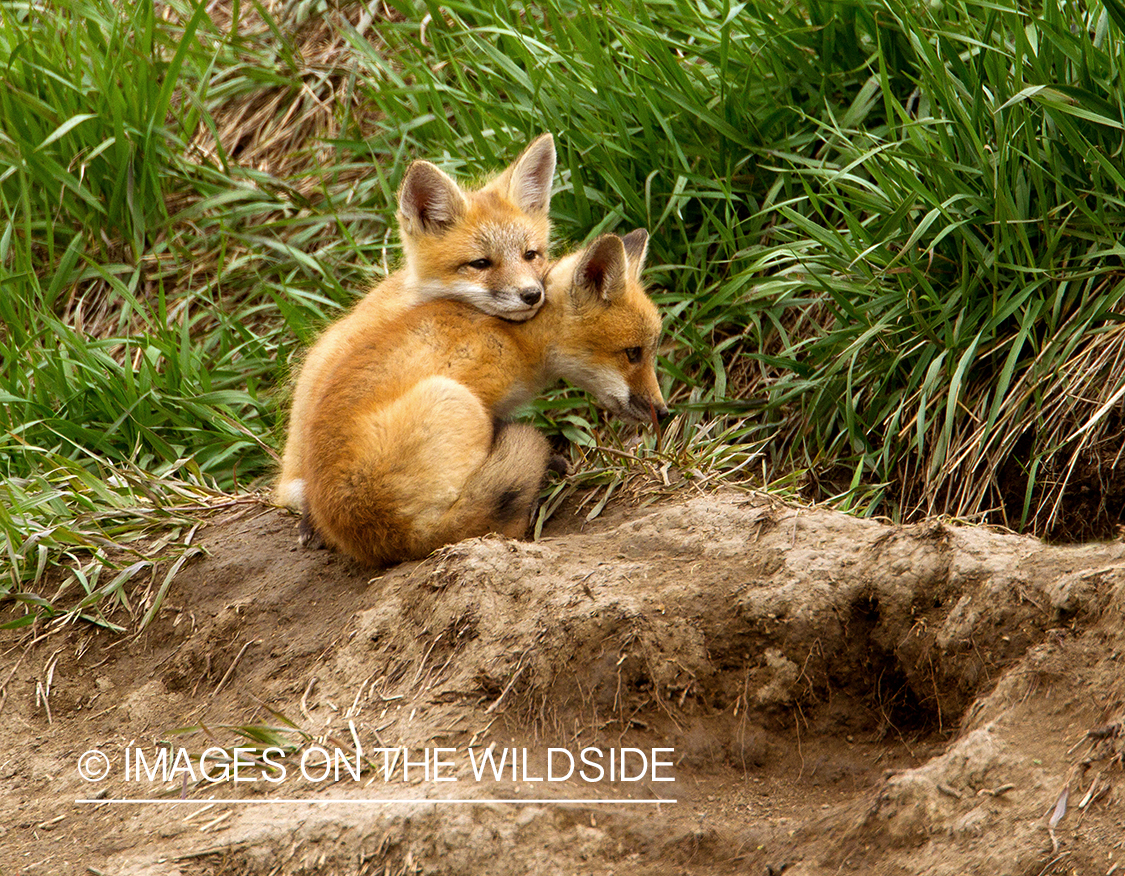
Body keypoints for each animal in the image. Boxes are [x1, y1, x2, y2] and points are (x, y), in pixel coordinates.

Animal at [303, 229, 668, 567]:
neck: (514, 337)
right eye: (633, 353)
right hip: (453, 399)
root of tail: (387, 538)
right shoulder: (481, 393)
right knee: (477, 521)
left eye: (649, 352)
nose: (663, 412)